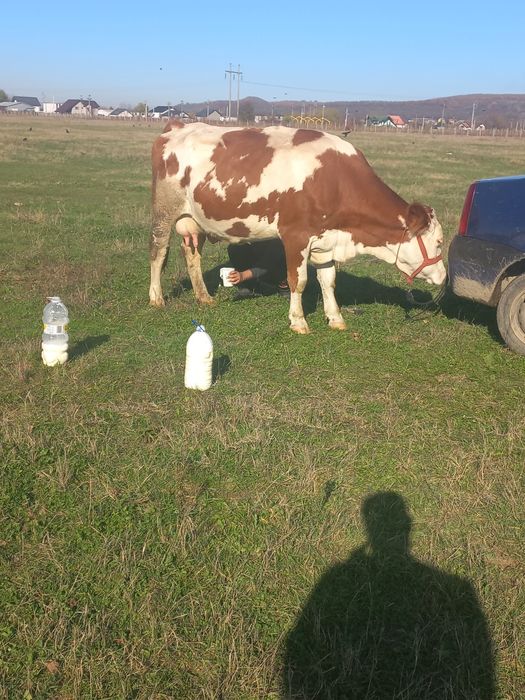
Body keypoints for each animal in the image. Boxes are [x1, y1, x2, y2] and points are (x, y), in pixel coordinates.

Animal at [149, 120, 446, 333]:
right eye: (439, 242)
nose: (443, 276)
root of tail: (177, 127)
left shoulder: (326, 241)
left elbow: (328, 280)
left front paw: (335, 317)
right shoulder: (295, 236)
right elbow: (298, 281)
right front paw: (298, 321)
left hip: (195, 220)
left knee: (192, 255)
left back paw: (203, 296)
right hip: (163, 212)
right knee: (158, 253)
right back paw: (156, 298)